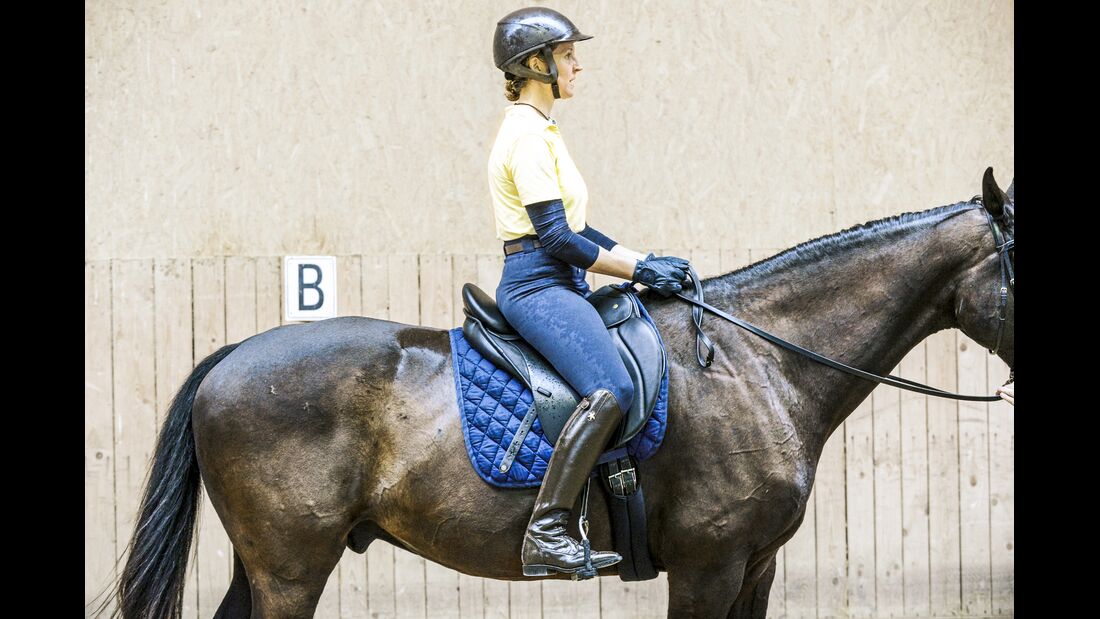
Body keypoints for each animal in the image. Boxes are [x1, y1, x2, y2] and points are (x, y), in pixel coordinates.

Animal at [103, 170, 1012, 619]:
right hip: (291, 566)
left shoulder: (755, 566)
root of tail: (231, 357)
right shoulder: (710, 566)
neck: (758, 359)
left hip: (268, 564)